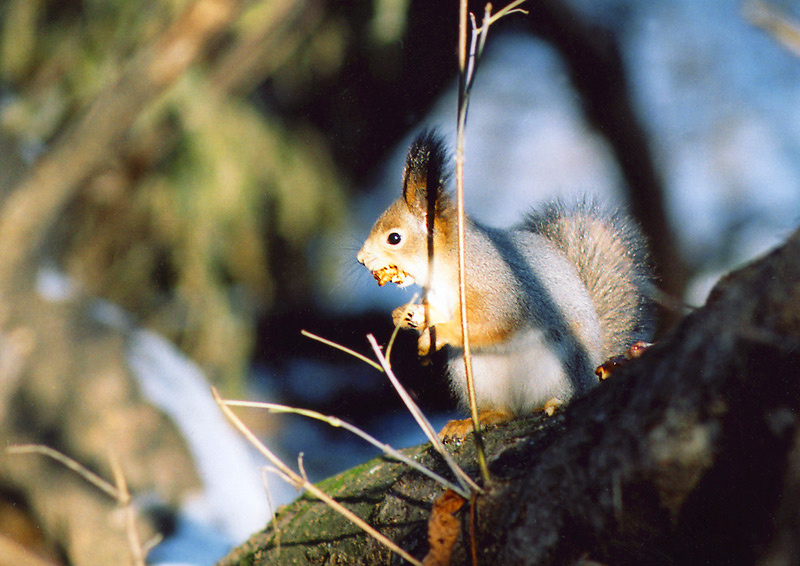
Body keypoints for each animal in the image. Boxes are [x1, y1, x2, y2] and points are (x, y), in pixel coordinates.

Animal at [357, 130, 654, 436]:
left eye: (394, 238)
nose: (361, 259)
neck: (446, 265)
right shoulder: (440, 298)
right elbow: (437, 313)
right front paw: (406, 315)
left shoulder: (497, 286)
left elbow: (491, 322)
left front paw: (433, 335)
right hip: (473, 376)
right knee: (505, 411)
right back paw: (480, 419)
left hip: (560, 365)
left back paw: (553, 402)